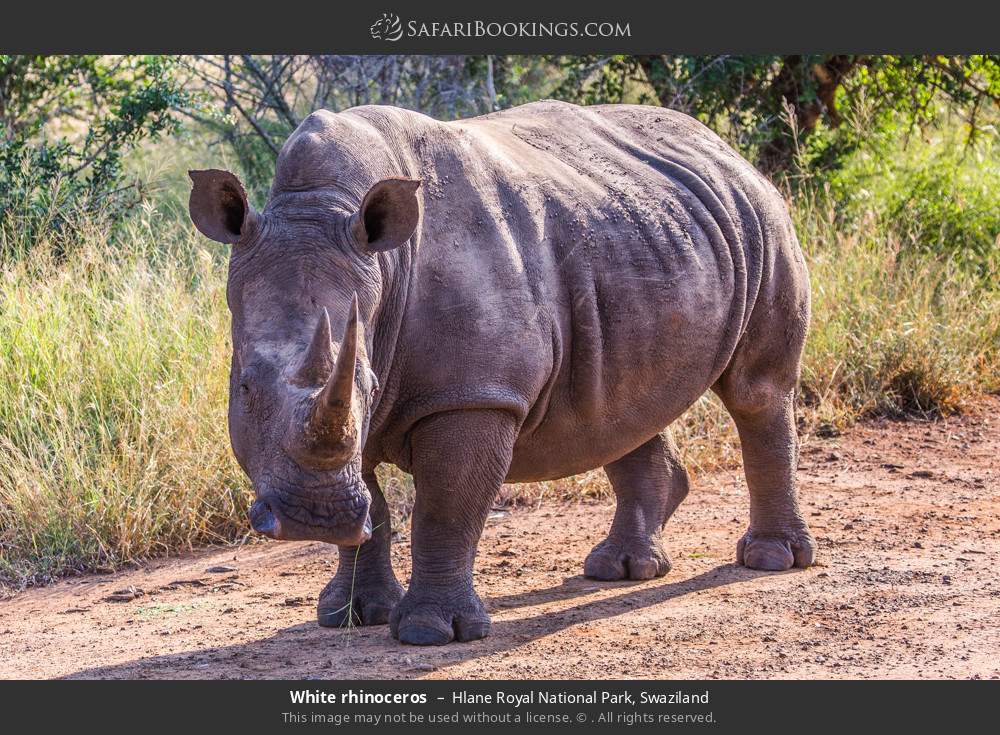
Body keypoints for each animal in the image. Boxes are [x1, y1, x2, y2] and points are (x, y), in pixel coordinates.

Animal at [188, 100, 815, 646]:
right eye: (244, 388)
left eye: (367, 385)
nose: (311, 519)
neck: (325, 209)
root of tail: (728, 151)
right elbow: (372, 500)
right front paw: (350, 615)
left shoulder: (473, 394)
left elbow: (445, 506)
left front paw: (429, 633)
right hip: (643, 235)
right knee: (622, 404)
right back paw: (621, 569)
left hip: (761, 217)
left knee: (756, 393)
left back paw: (769, 560)